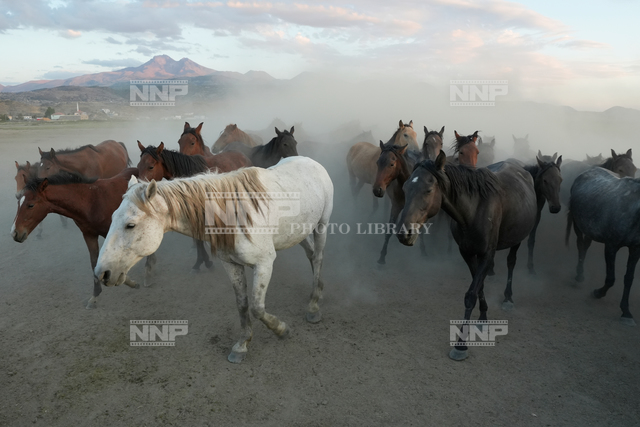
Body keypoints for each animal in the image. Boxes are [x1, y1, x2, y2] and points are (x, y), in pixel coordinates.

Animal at [11, 169, 156, 309]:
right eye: (18, 202)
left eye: (30, 205)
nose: (14, 233)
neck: (91, 201)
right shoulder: (89, 234)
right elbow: (95, 263)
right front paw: (95, 297)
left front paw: (130, 281)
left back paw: (148, 275)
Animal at [94, 156, 334, 363]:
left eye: (130, 225)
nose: (101, 273)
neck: (235, 216)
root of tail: (311, 161)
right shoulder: (231, 265)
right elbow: (242, 305)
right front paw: (242, 345)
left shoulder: (264, 263)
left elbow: (257, 308)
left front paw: (282, 329)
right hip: (298, 232)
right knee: (311, 254)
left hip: (321, 225)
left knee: (319, 257)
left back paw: (314, 305)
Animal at [396, 151, 537, 360]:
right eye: (405, 188)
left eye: (428, 190)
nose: (403, 233)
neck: (475, 210)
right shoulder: (468, 254)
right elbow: (478, 287)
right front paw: (483, 318)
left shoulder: (487, 255)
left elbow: (471, 294)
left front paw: (461, 344)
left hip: (517, 239)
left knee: (511, 262)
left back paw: (508, 298)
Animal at [566, 167, 640, 326]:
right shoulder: (611, 246)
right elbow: (611, 278)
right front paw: (598, 293)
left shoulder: (635, 250)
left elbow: (628, 279)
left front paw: (626, 312)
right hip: (578, 225)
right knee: (580, 246)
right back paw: (579, 275)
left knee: (585, 246)